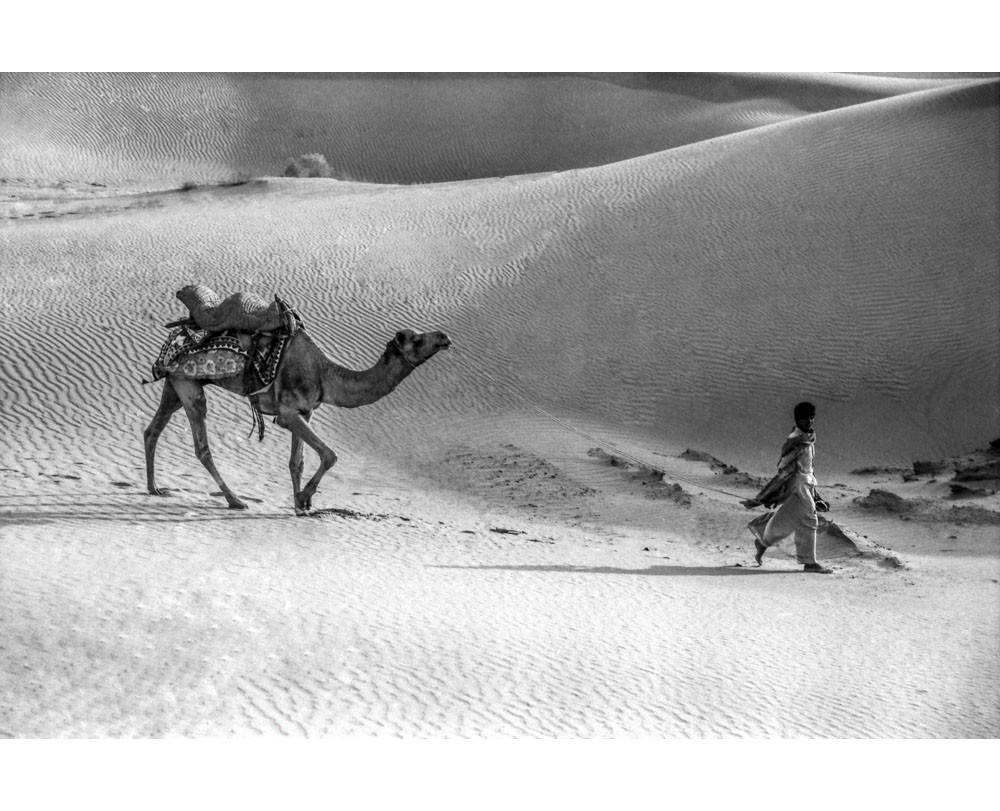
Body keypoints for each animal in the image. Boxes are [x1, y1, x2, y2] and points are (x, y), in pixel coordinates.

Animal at [143, 326, 452, 510]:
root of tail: (169, 341)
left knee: (153, 429)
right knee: (201, 445)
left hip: (175, 382)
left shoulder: (306, 412)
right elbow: (330, 455)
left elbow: (297, 462)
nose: (445, 337)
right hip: (188, 384)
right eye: (417, 339)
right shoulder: (289, 413)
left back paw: (154, 488)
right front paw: (304, 498)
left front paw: (298, 505)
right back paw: (235, 500)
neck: (325, 374)